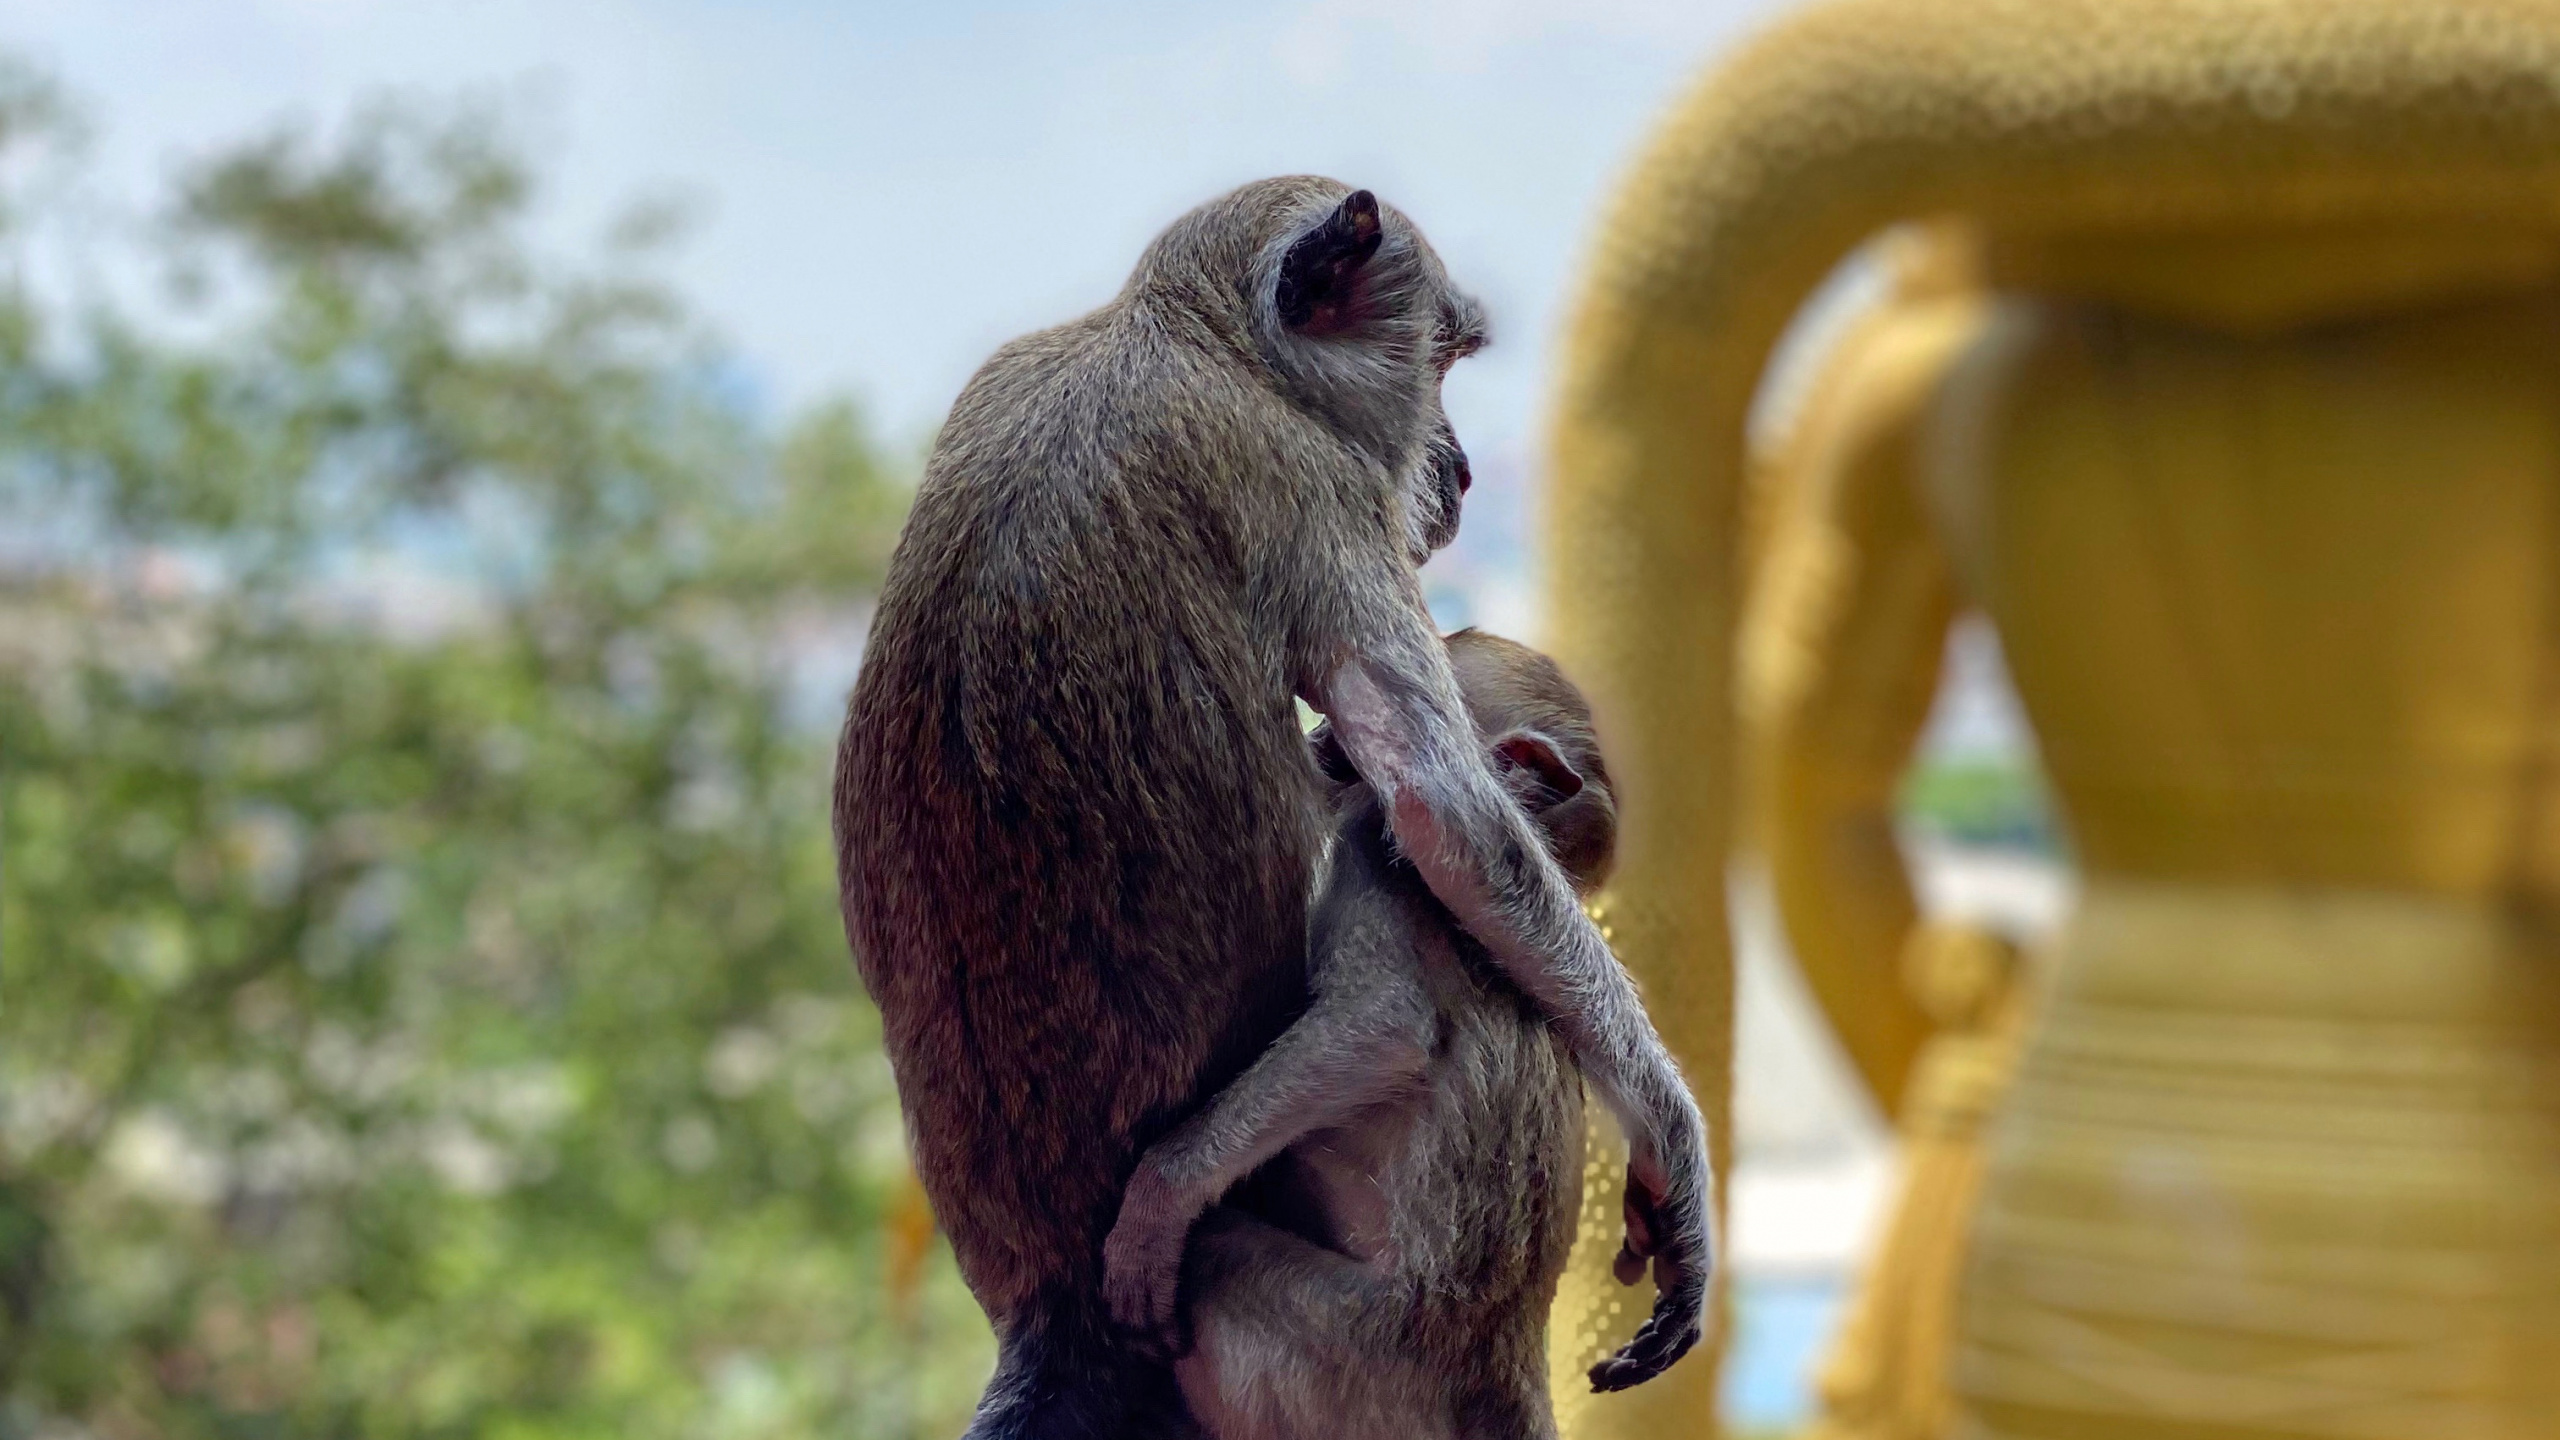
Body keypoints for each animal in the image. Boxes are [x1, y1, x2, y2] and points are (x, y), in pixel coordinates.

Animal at [1111, 630, 1628, 1434]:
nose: (1322, 731)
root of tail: (1498, 1363)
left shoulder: (1378, 842)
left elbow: (1382, 1022)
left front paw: (1163, 1194)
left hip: (1351, 1352)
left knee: (1215, 1262)